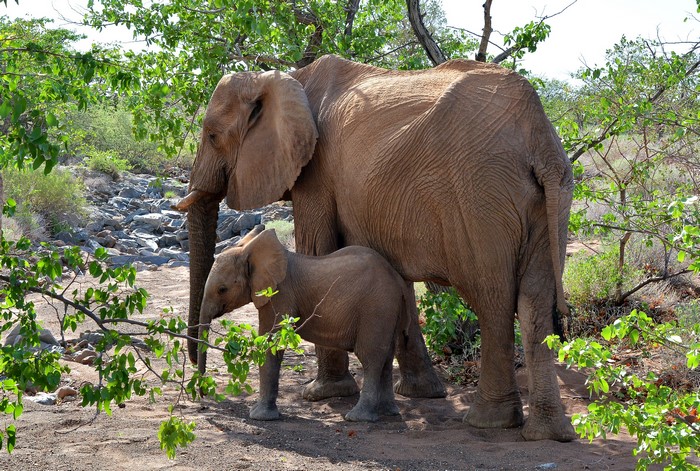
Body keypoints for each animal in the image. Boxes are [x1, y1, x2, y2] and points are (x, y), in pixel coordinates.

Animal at [198, 226, 411, 422]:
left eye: (222, 289)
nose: (203, 399)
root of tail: (398, 280)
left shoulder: (279, 295)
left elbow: (271, 344)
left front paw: (259, 417)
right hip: (388, 310)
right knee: (386, 356)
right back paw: (388, 412)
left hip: (376, 308)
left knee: (371, 357)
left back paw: (358, 418)